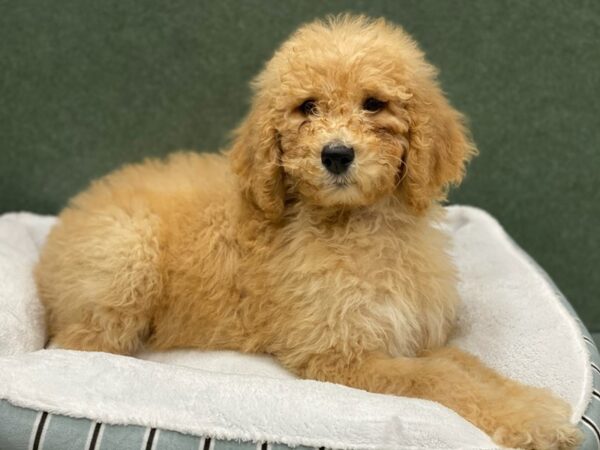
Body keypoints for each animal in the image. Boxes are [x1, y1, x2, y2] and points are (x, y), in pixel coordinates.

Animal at [36, 14, 580, 450]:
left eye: (374, 104)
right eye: (307, 107)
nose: (336, 154)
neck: (359, 224)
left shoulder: (411, 334)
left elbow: (468, 366)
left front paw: (531, 406)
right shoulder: (339, 353)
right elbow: (437, 379)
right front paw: (532, 422)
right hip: (126, 262)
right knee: (76, 345)